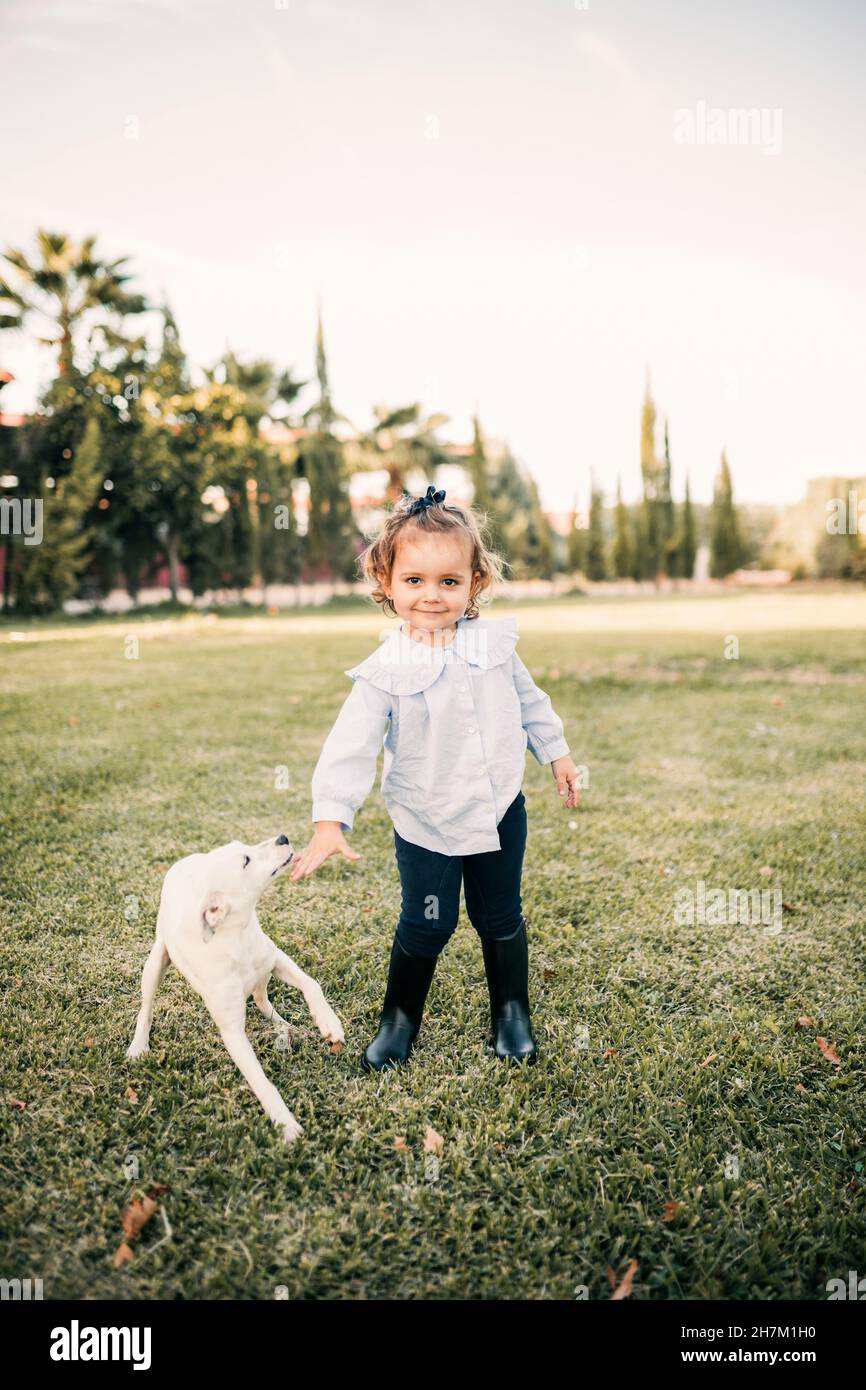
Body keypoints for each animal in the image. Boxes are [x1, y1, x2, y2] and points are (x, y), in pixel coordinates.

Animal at [127, 834, 343, 1139]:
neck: (236, 937)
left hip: (264, 971)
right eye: (246, 861)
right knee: (145, 1009)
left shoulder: (277, 959)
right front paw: (285, 1123)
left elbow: (312, 985)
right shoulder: (233, 1034)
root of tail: (186, 860)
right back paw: (138, 1045)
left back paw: (283, 1025)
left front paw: (328, 1021)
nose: (283, 837)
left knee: (262, 998)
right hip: (156, 961)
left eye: (245, 846)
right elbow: (261, 1082)